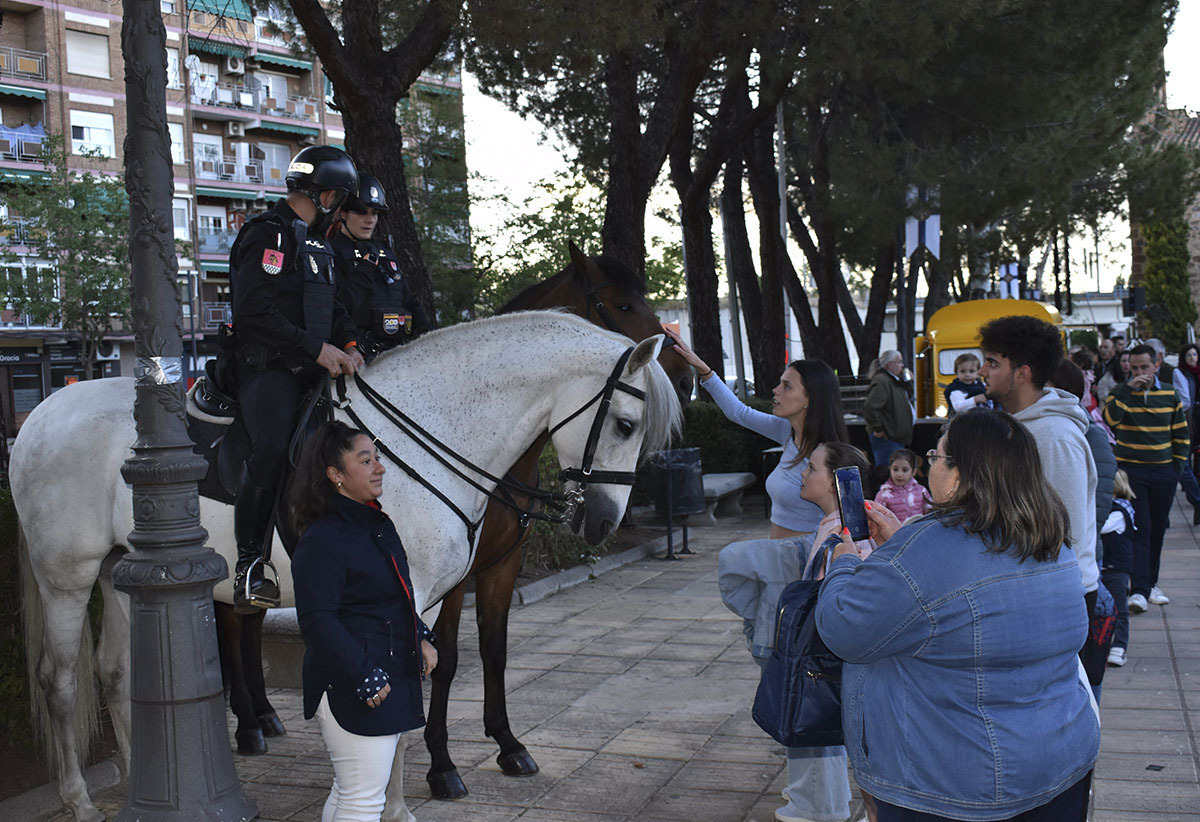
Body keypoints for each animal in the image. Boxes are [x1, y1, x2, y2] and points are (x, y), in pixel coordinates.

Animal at [14, 312, 681, 820]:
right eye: (626, 425)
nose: (601, 522)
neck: (420, 437)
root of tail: (41, 414)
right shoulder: (405, 597)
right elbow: (396, 706)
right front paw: (399, 803)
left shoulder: (441, 594)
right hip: (65, 576)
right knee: (58, 679)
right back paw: (81, 800)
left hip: (122, 573)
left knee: (115, 674)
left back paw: (137, 784)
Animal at [424, 242, 696, 796]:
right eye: (624, 305)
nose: (688, 380)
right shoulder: (453, 579)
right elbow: (447, 659)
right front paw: (441, 762)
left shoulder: (502, 566)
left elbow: (494, 649)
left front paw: (507, 743)